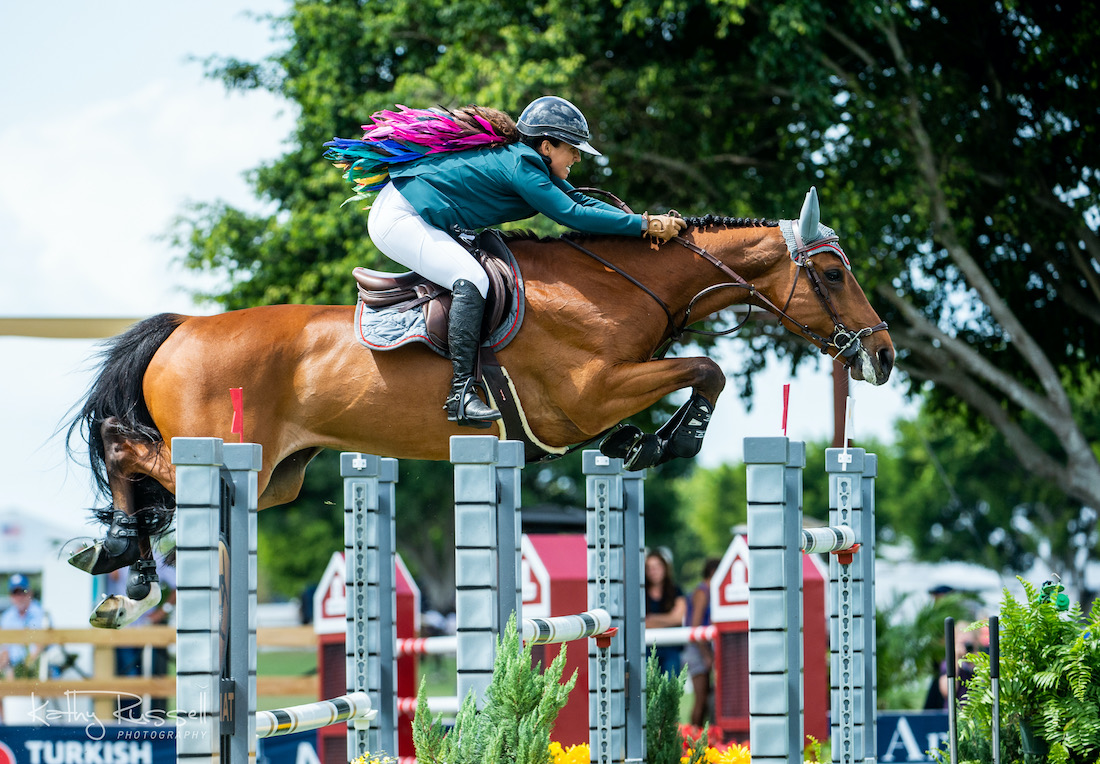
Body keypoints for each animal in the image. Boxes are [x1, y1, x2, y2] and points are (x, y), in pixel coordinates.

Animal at [68, 186, 893, 628]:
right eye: (831, 272)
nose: (882, 355)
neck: (615, 287)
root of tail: (185, 327)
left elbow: (690, 376)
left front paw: (637, 444)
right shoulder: (586, 395)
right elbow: (707, 367)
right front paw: (672, 440)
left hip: (275, 478)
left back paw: (128, 568)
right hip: (230, 456)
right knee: (120, 443)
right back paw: (119, 558)